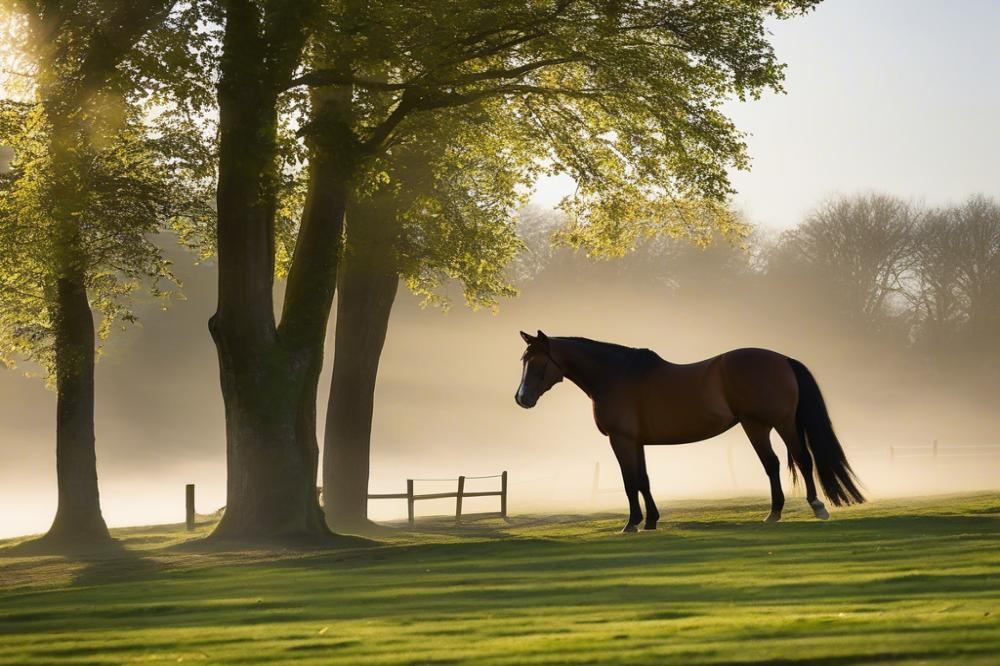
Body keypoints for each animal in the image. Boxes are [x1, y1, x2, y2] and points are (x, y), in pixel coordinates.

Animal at [512, 330, 864, 532]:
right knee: (776, 464)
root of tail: (782, 359)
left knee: (797, 460)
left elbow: (629, 482)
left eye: (537, 361)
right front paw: (651, 520)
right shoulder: (637, 442)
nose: (521, 399)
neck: (615, 376)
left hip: (773, 423)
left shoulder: (621, 441)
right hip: (761, 425)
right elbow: (643, 480)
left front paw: (632, 523)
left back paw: (813, 508)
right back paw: (776, 512)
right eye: (524, 359)